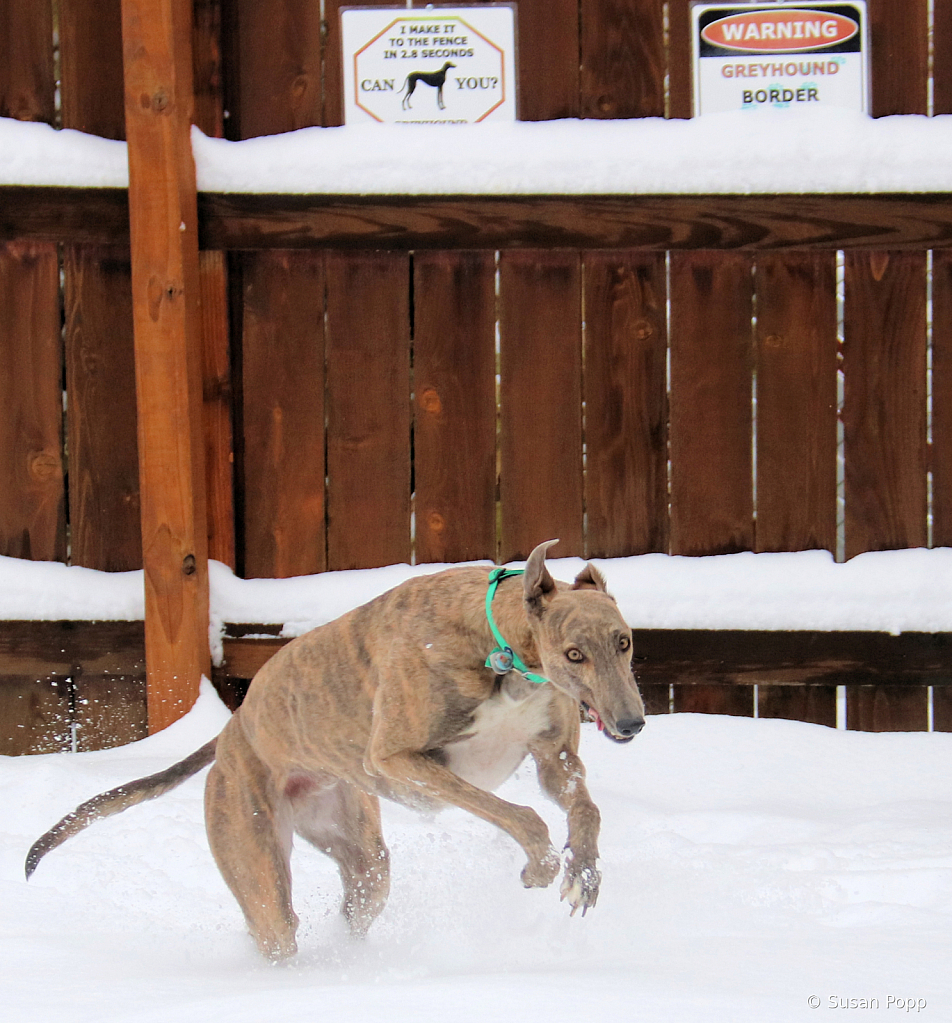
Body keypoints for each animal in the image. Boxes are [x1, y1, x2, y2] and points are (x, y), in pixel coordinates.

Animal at [26, 544, 642, 957]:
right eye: (574, 653)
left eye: (624, 641)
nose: (632, 724)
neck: (500, 647)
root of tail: (232, 732)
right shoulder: (400, 762)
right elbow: (521, 814)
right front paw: (542, 864)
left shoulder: (553, 758)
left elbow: (583, 807)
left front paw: (584, 872)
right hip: (256, 853)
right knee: (274, 926)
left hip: (356, 845)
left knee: (360, 897)